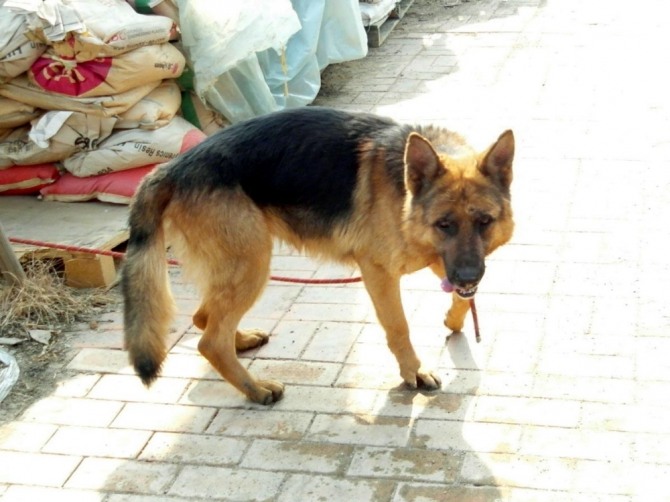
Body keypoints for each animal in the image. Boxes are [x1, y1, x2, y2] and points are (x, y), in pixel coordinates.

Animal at [123, 107, 516, 404]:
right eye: (444, 224)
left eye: (484, 222)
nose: (467, 276)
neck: (404, 192)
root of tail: (172, 168)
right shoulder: (379, 271)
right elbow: (399, 327)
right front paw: (413, 372)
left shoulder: (442, 259)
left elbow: (464, 296)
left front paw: (453, 318)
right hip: (253, 265)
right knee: (210, 341)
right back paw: (256, 389)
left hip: (238, 268)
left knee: (206, 318)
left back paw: (241, 340)